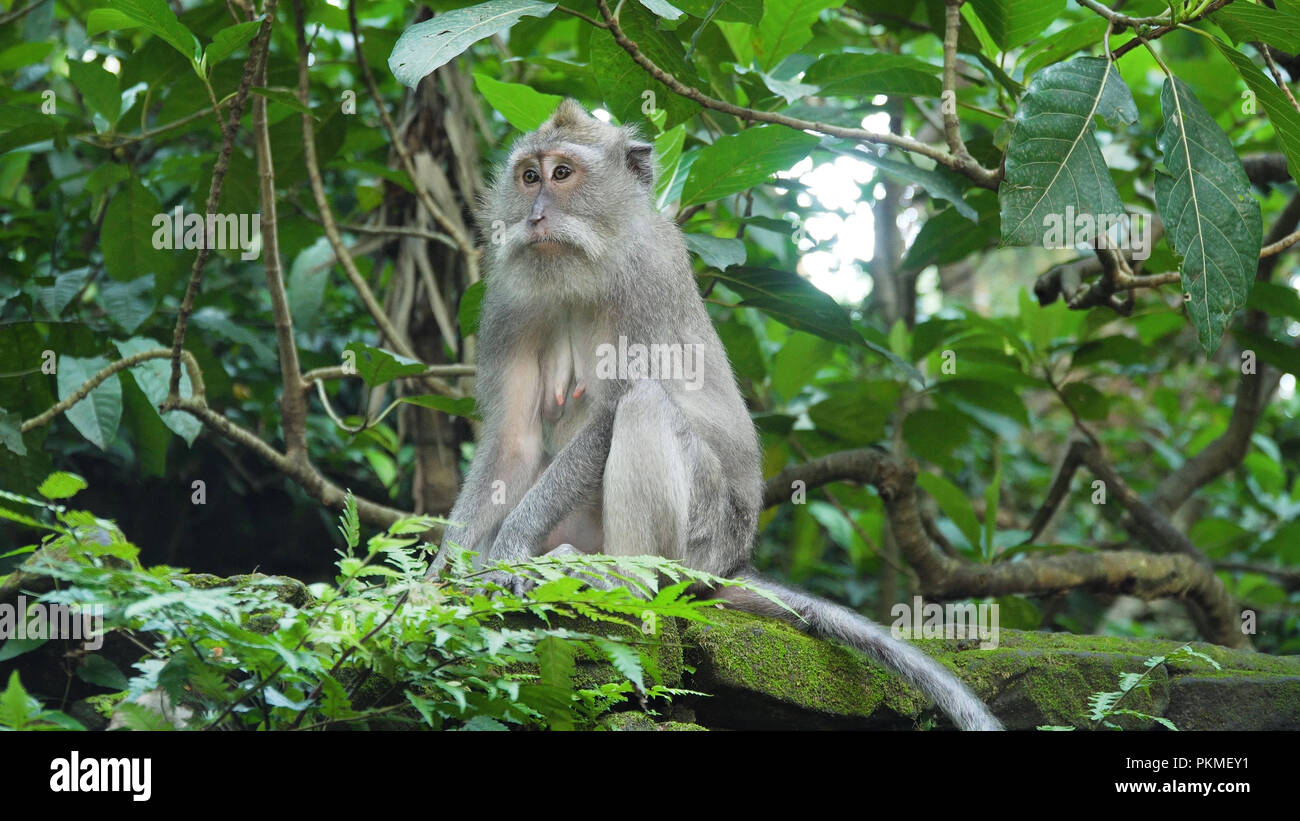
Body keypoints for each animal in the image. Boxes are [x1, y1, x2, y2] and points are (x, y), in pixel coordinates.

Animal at [429, 99, 1001, 731]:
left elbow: (613, 413)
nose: (534, 215)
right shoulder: (505, 299)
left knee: (646, 406)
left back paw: (622, 579)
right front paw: (431, 584)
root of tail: (730, 566)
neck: (583, 269)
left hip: (702, 540)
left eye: (562, 174)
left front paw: (506, 551)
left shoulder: (647, 278)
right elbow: (512, 441)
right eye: (529, 176)